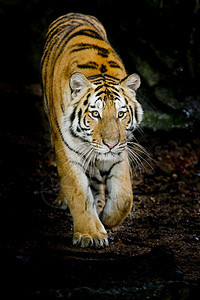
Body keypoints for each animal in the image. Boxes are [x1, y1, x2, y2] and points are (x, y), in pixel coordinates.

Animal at [41, 12, 143, 248]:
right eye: (95, 114)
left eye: (121, 114)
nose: (110, 144)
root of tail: (74, 12)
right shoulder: (67, 152)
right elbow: (78, 193)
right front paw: (91, 234)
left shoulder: (119, 153)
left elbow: (124, 196)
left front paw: (106, 219)